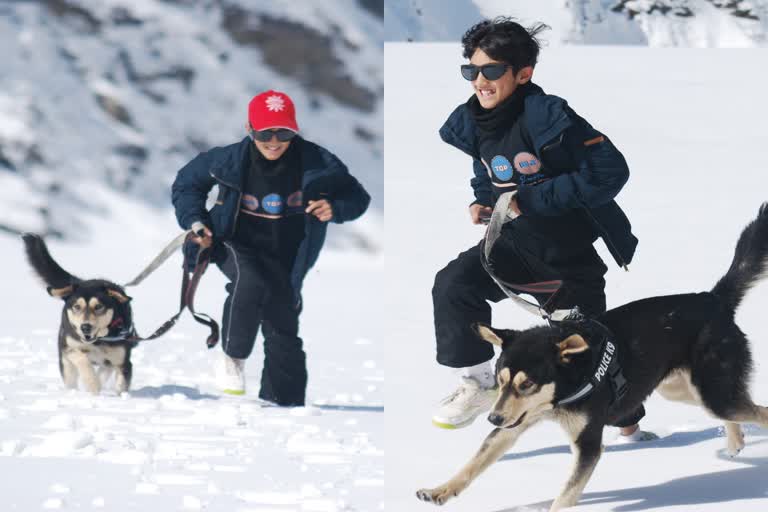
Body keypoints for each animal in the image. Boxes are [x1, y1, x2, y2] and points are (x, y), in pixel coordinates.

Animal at [22, 234, 136, 394]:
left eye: (99, 306)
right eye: (77, 306)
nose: (85, 327)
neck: (98, 341)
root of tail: (80, 282)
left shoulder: (122, 361)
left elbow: (122, 384)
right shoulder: (70, 348)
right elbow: (83, 360)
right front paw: (93, 386)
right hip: (65, 361)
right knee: (72, 377)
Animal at [416, 204, 768, 512]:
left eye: (527, 384)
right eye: (500, 382)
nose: (493, 418)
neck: (567, 386)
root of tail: (713, 299)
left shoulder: (586, 443)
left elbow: (566, 494)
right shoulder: (515, 423)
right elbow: (474, 463)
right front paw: (440, 490)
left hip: (713, 390)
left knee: (756, 410)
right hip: (684, 389)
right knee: (733, 410)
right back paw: (735, 443)